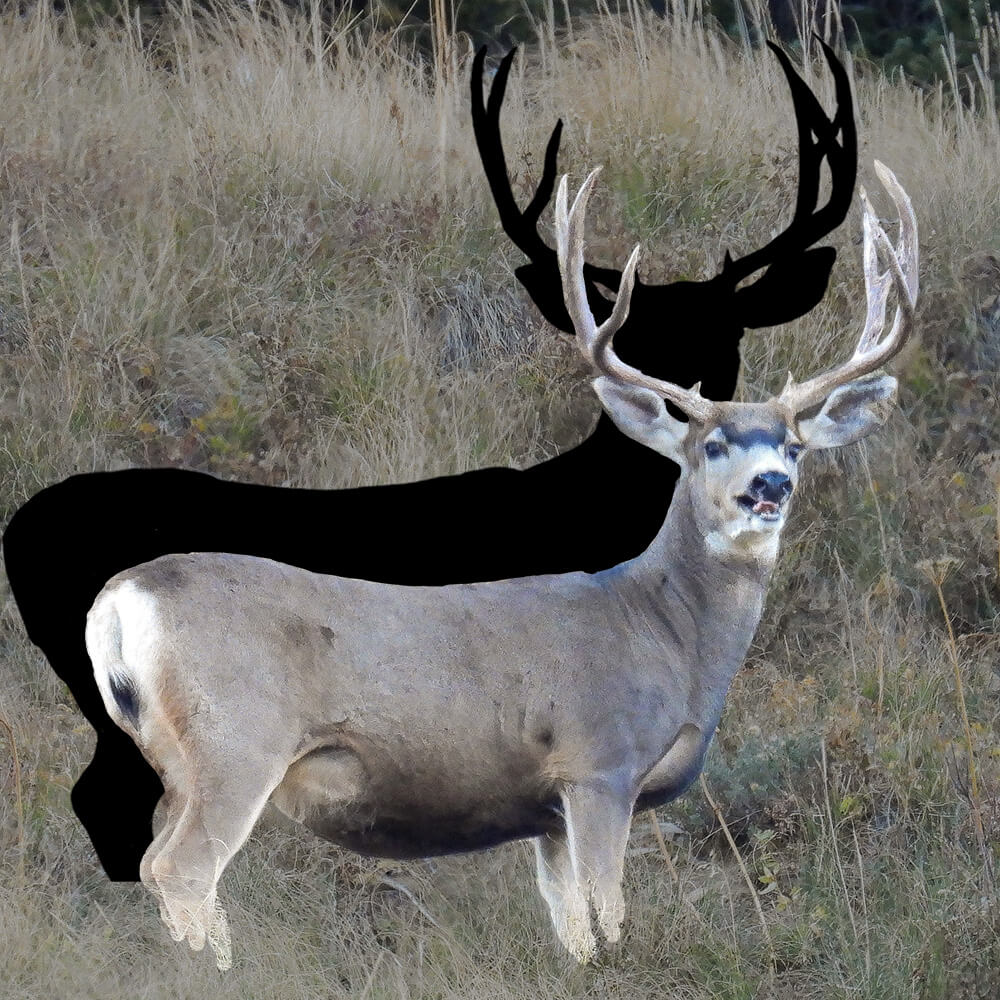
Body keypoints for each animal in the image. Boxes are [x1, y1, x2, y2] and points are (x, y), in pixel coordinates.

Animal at [84, 160, 917, 971]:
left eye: (795, 445)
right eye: (710, 443)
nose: (768, 485)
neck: (669, 637)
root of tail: (121, 596)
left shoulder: (546, 811)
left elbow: (573, 929)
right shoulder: (598, 762)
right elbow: (611, 915)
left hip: (172, 756)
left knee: (152, 860)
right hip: (235, 737)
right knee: (181, 868)